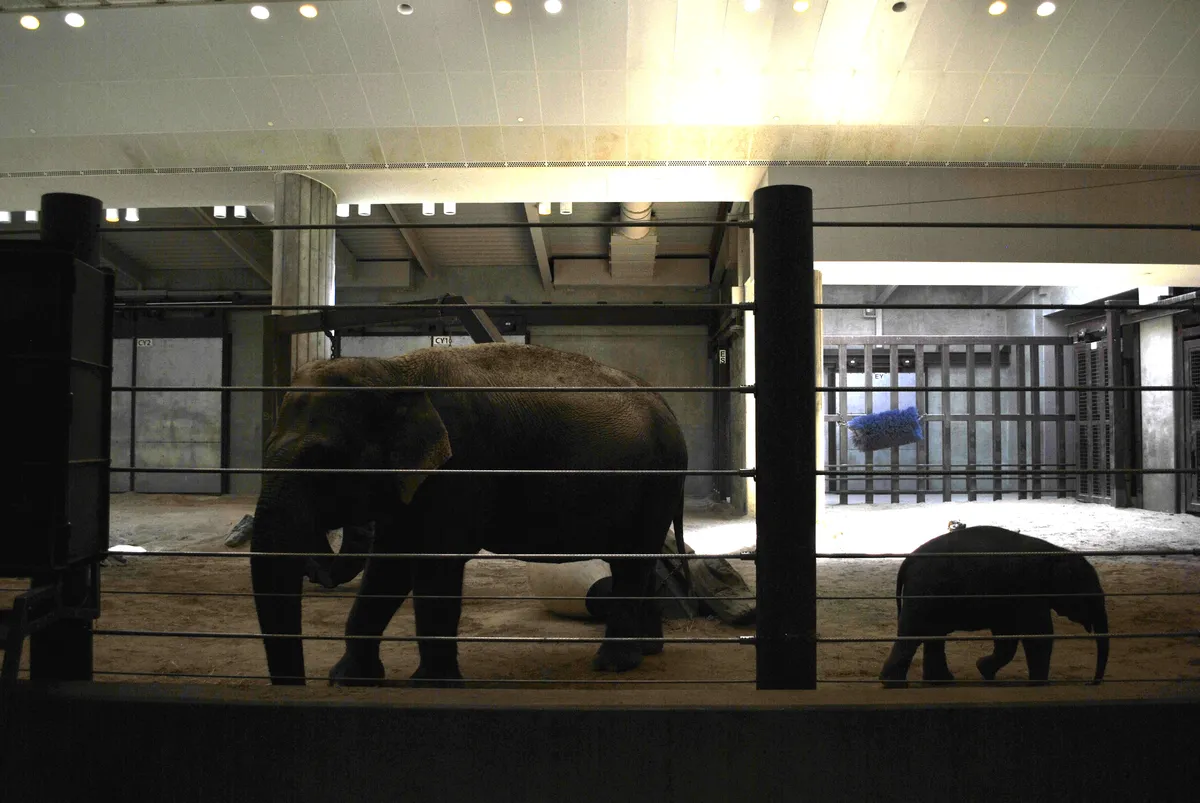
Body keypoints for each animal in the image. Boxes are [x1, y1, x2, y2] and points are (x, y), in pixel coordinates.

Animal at [250, 342, 689, 686]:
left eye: (324, 460)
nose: (296, 686)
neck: (395, 372)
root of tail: (668, 406)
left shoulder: (460, 467)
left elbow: (434, 564)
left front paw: (430, 685)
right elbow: (389, 565)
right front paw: (347, 680)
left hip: (657, 483)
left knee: (632, 561)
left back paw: (613, 665)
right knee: (637, 562)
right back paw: (647, 651)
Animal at [878, 526, 1109, 688]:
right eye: (1091, 596)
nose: (1091, 682)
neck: (1054, 553)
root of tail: (907, 562)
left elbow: (1007, 635)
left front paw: (984, 670)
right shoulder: (1028, 590)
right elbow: (1038, 634)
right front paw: (1040, 684)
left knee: (933, 636)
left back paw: (941, 682)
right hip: (924, 594)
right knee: (913, 635)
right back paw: (895, 685)